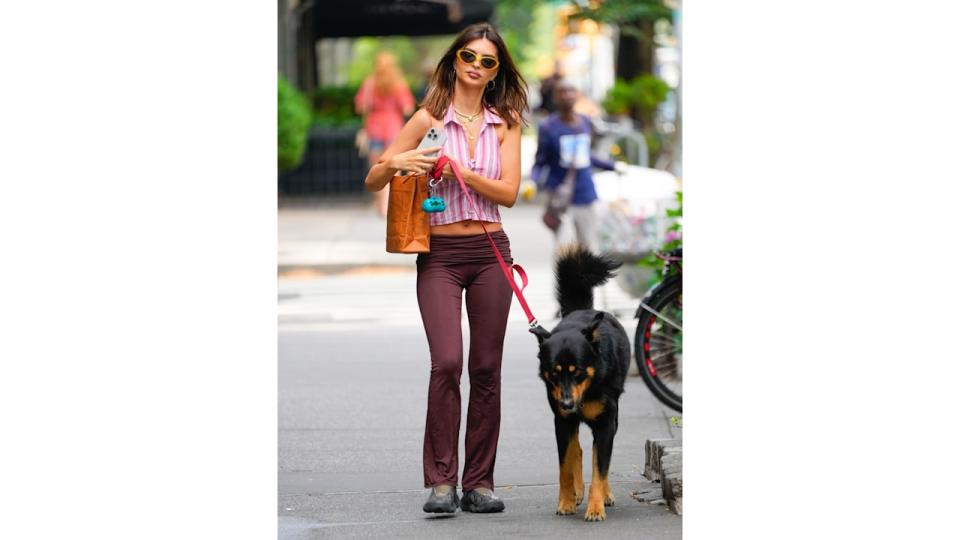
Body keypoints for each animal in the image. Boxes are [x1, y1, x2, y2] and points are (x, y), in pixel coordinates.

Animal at [528, 247, 632, 520]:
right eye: (554, 374)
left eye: (579, 373)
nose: (566, 403)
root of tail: (581, 310)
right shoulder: (562, 422)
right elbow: (565, 465)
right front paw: (565, 502)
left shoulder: (606, 424)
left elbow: (600, 469)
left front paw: (595, 507)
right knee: (578, 450)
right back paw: (576, 492)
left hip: (613, 419)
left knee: (597, 457)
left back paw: (605, 495)